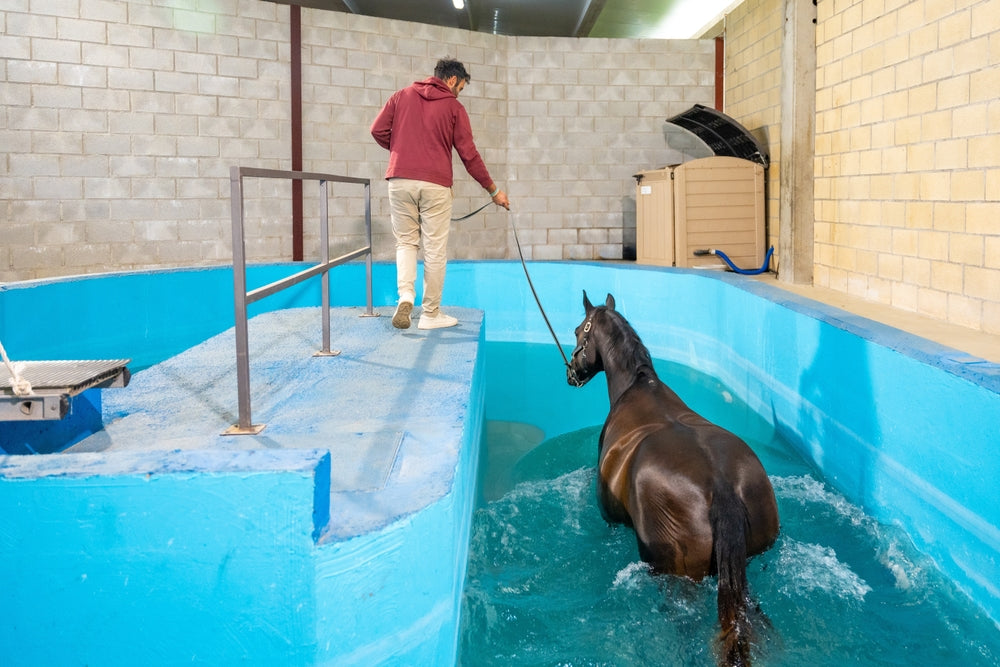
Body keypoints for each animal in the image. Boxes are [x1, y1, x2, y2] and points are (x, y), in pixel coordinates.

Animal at [566, 291, 779, 667]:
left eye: (579, 330)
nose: (571, 372)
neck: (637, 386)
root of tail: (722, 488)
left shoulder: (609, 518)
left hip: (676, 575)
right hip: (745, 567)